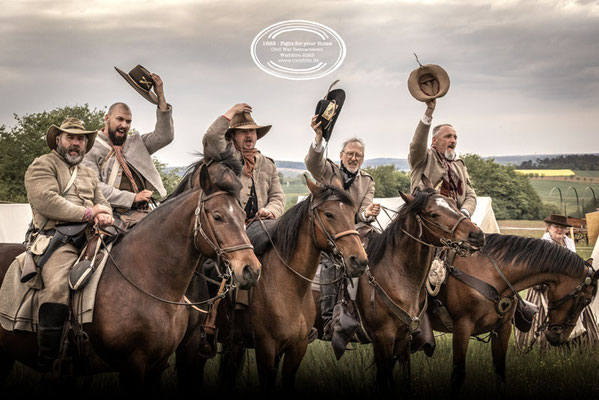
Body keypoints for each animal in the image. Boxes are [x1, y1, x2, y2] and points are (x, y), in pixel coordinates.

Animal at [0, 155, 262, 392]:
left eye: (242, 215)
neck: (147, 278)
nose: (251, 269)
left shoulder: (163, 362)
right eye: (217, 216)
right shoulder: (132, 367)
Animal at [428, 234, 596, 394]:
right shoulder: (462, 328)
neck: (490, 274)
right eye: (586, 300)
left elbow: (500, 372)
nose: (558, 337)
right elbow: (458, 376)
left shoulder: (503, 328)